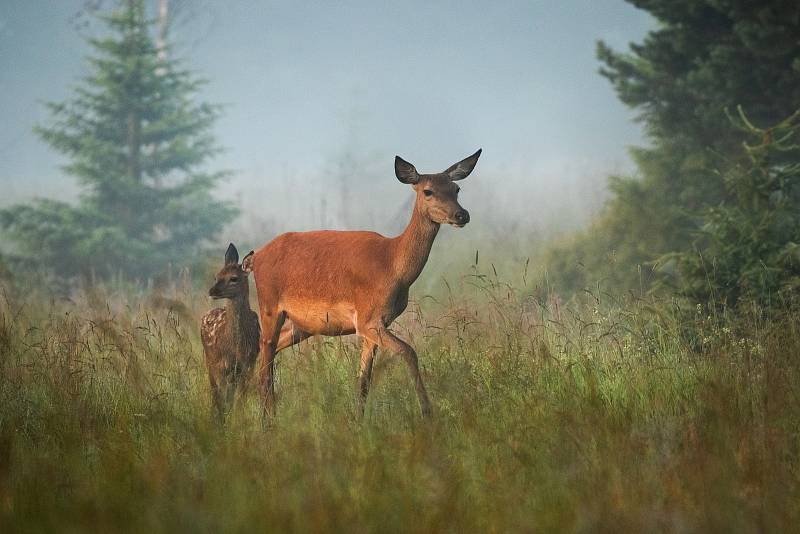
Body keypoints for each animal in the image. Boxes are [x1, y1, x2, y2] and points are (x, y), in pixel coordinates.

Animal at [200, 245, 260, 426]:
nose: (212, 291)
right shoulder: (222, 365)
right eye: (217, 276)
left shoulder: (248, 364)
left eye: (234, 278)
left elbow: (240, 400)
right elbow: (223, 399)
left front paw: (237, 421)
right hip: (210, 361)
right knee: (216, 394)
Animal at [250, 150, 482, 418]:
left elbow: (364, 380)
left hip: (303, 325)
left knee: (266, 355)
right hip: (269, 306)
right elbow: (409, 352)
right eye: (428, 191)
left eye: (456, 189)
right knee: (265, 364)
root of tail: (255, 257)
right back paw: (268, 419)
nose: (462, 215)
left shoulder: (377, 322)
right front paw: (427, 412)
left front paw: (359, 420)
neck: (392, 266)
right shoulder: (367, 319)